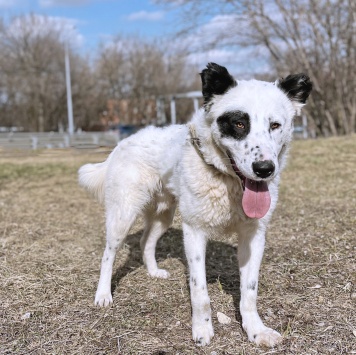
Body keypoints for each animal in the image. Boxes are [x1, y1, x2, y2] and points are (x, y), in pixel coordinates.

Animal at [78, 62, 312, 346]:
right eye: (239, 123)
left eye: (275, 125)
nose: (265, 169)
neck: (226, 181)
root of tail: (123, 142)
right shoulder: (194, 232)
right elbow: (200, 292)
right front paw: (202, 329)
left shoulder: (254, 236)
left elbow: (250, 292)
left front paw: (256, 330)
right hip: (123, 215)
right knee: (108, 254)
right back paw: (103, 294)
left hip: (164, 215)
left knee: (146, 242)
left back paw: (153, 271)